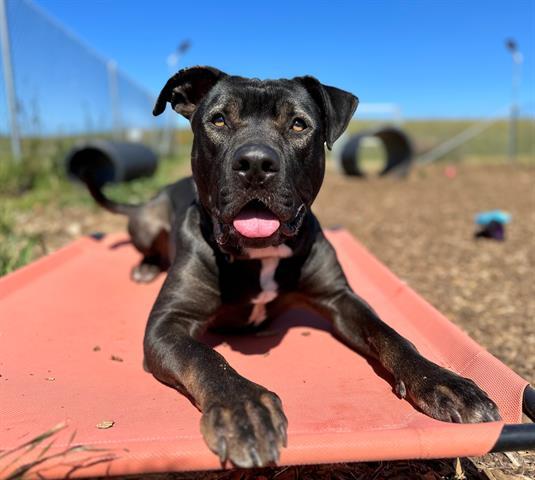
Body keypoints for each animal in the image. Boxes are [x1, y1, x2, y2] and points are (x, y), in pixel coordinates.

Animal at [85, 67, 502, 468]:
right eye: (219, 120)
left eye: (299, 125)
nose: (255, 163)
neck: (259, 254)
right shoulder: (168, 323)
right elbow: (205, 358)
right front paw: (243, 408)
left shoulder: (340, 298)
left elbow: (390, 334)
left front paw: (443, 381)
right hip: (146, 221)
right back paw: (145, 267)